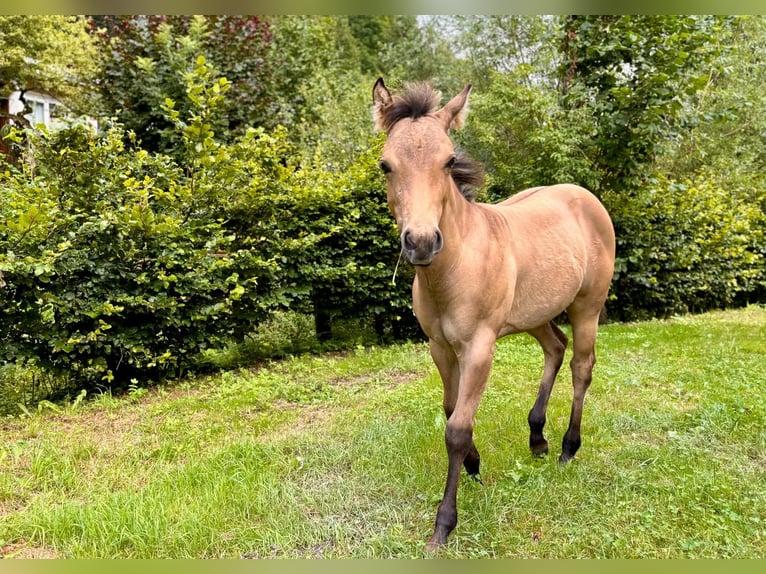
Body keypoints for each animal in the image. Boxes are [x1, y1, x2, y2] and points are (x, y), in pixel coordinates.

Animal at [372, 79, 616, 552]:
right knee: (555, 348)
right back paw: (537, 438)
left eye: (449, 161)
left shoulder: (479, 348)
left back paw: (567, 447)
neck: (452, 269)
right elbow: (452, 409)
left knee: (581, 366)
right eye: (385, 165)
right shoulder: (440, 347)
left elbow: (456, 428)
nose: (422, 242)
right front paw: (474, 463)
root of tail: (585, 196)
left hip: (587, 307)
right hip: (535, 313)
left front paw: (444, 524)